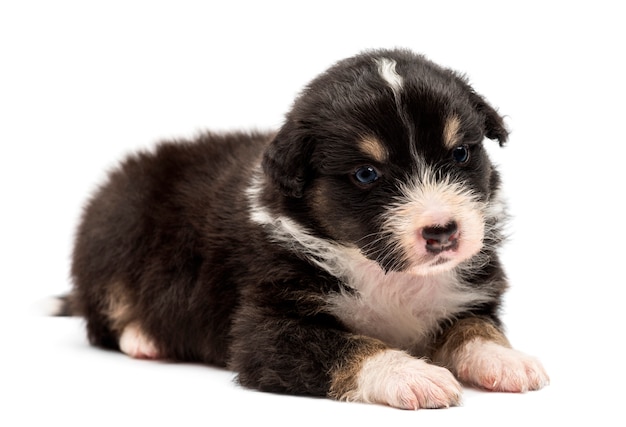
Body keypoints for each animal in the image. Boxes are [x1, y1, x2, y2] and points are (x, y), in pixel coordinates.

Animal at [57, 47, 544, 412]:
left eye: (460, 153)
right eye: (366, 174)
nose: (442, 232)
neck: (387, 273)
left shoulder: (468, 296)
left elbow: (475, 328)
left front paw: (507, 360)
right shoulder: (263, 329)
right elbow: (348, 345)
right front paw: (414, 374)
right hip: (113, 235)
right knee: (103, 316)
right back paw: (144, 337)